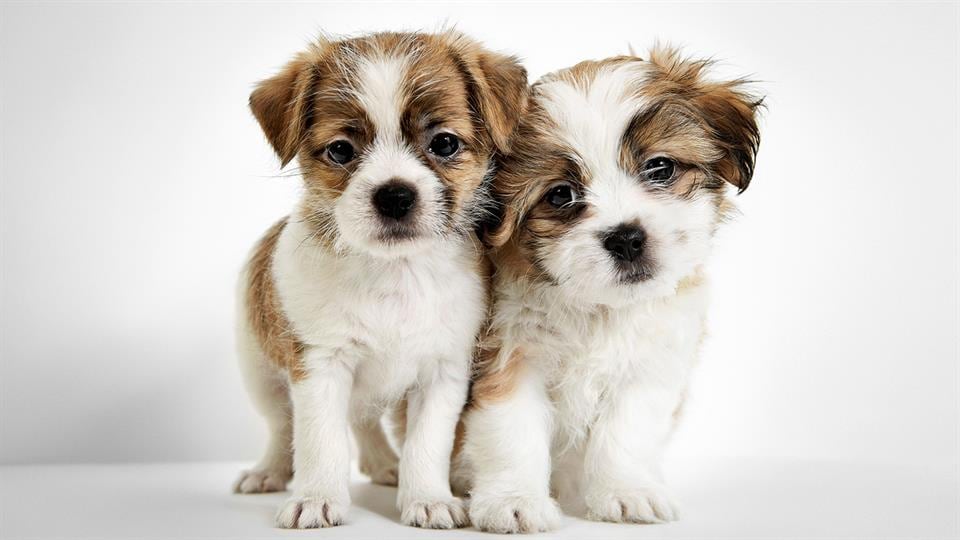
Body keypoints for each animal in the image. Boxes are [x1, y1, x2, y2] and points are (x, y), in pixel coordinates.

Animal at [235, 31, 528, 528]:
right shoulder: (321, 365)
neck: (396, 272)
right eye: (340, 150)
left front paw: (427, 498)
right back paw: (268, 472)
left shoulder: (442, 374)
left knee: (363, 421)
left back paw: (383, 463)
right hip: (260, 375)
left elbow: (426, 445)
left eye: (444, 143)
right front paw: (317, 497)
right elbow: (321, 440)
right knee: (281, 426)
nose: (394, 195)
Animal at [462, 47, 760, 532]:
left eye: (660, 167)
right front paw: (514, 501)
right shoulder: (508, 358)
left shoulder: (649, 367)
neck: (599, 309)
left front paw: (626, 492)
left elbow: (626, 431)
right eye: (560, 195)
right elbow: (511, 429)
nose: (625, 238)